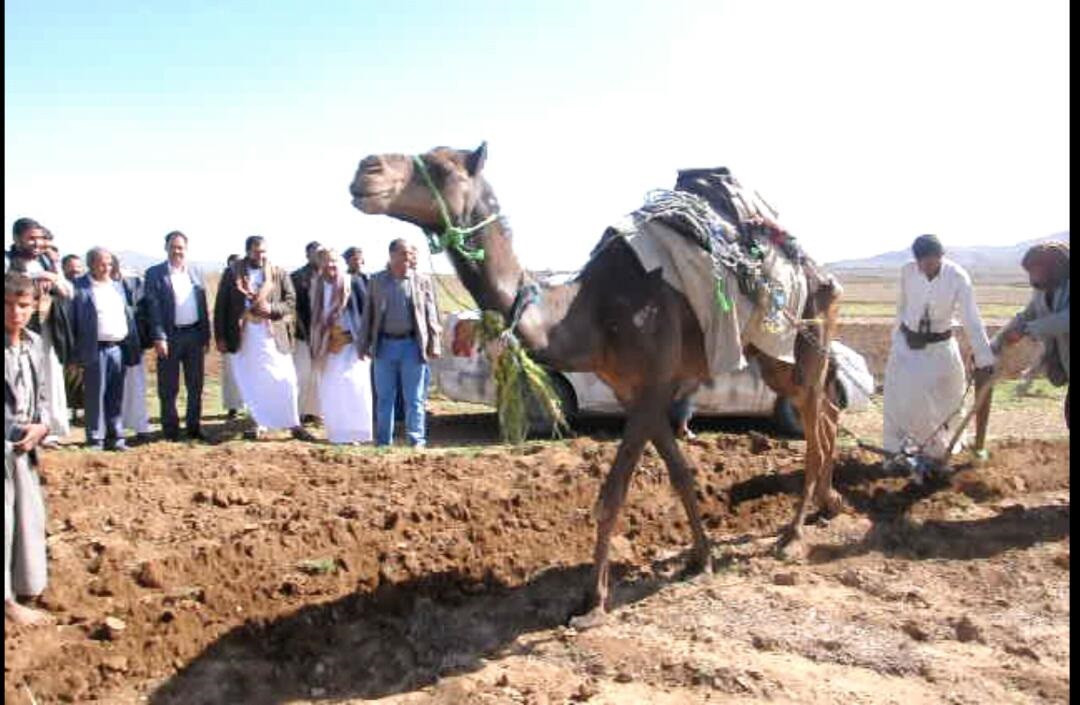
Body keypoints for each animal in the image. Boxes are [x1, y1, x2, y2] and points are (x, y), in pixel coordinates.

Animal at [349, 141, 846, 621]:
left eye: (443, 169)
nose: (364, 170)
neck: (588, 310)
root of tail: (824, 275)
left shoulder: (653, 385)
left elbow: (612, 494)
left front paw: (593, 602)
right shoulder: (636, 391)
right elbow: (681, 473)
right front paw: (700, 559)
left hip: (800, 339)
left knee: (817, 419)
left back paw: (793, 533)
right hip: (770, 355)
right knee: (828, 412)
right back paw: (828, 505)